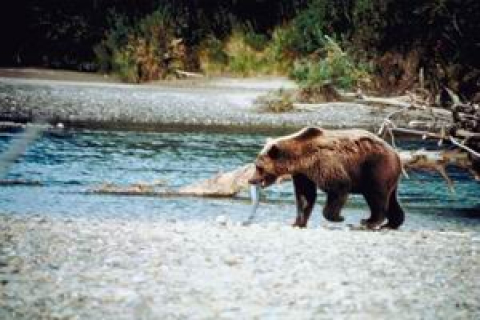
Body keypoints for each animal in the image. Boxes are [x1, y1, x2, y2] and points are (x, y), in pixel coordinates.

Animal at [249, 126, 404, 229]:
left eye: (258, 167)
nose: (251, 180)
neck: (301, 158)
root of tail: (396, 154)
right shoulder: (303, 174)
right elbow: (305, 195)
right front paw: (298, 222)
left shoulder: (325, 163)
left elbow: (339, 186)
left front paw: (338, 217)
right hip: (386, 176)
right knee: (390, 199)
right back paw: (391, 223)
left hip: (375, 168)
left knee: (376, 195)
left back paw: (370, 221)